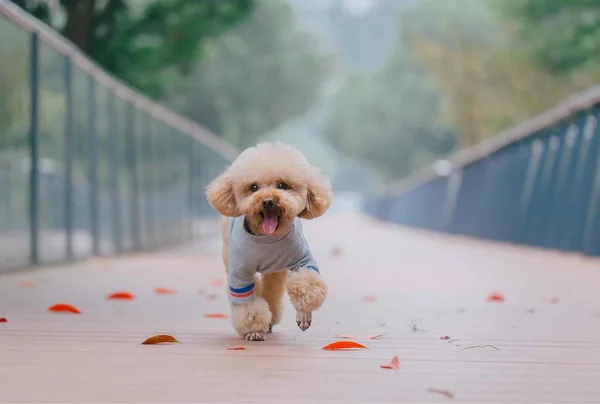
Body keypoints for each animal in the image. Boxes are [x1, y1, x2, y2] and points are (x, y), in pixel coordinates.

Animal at [204, 142, 330, 340]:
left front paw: (304, 313)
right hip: (228, 257)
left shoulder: (302, 260)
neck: (266, 239)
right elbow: (248, 304)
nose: (268, 201)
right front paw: (254, 330)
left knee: (272, 291)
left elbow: (306, 283)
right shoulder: (240, 275)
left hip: (276, 271)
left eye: (282, 185)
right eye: (253, 187)